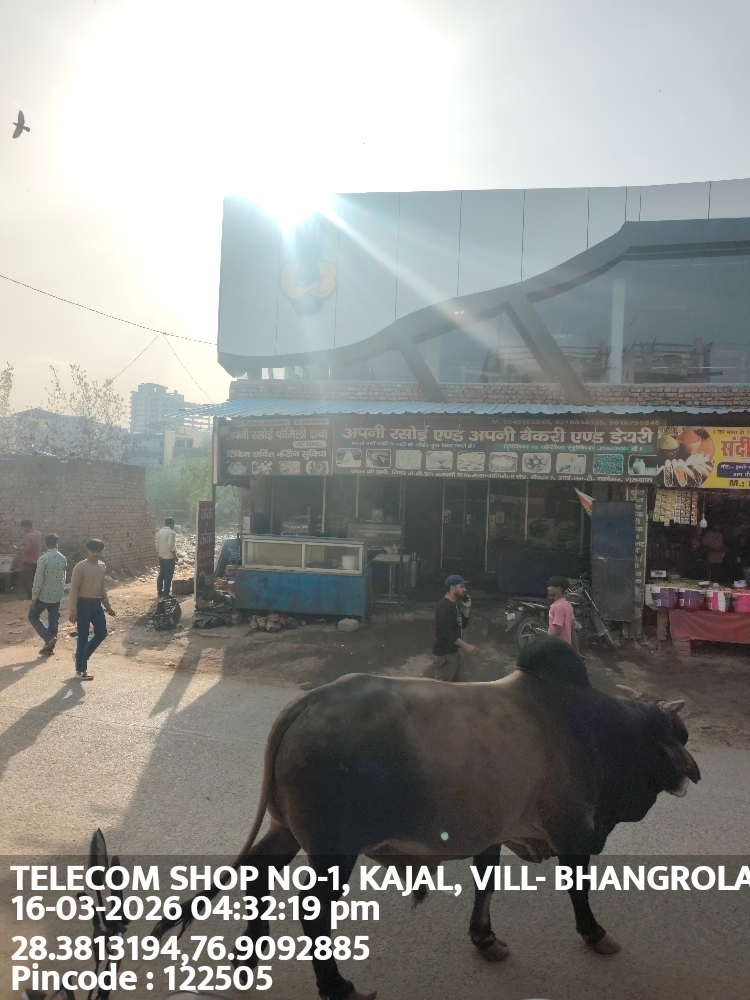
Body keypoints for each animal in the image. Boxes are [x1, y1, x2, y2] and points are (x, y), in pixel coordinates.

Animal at [155, 637, 700, 1000]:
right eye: (679, 736)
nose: (693, 774)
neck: (593, 728)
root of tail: (306, 703)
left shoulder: (493, 829)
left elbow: (486, 880)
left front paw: (485, 939)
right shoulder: (573, 831)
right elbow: (579, 891)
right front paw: (595, 934)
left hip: (286, 828)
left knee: (258, 871)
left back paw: (248, 960)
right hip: (333, 849)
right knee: (313, 910)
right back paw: (337, 985)